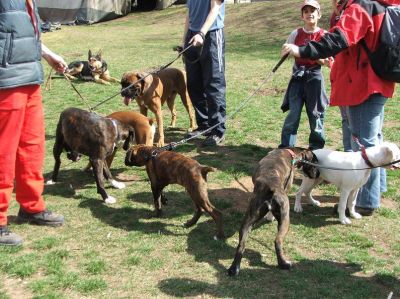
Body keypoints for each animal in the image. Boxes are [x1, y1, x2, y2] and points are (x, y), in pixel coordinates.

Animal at [228, 148, 318, 276]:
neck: (291, 153)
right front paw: (270, 217)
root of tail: (270, 187)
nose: (317, 174)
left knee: (241, 245)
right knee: (277, 241)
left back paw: (234, 269)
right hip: (285, 220)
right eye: (314, 163)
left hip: (248, 219)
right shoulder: (288, 186)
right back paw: (284, 264)